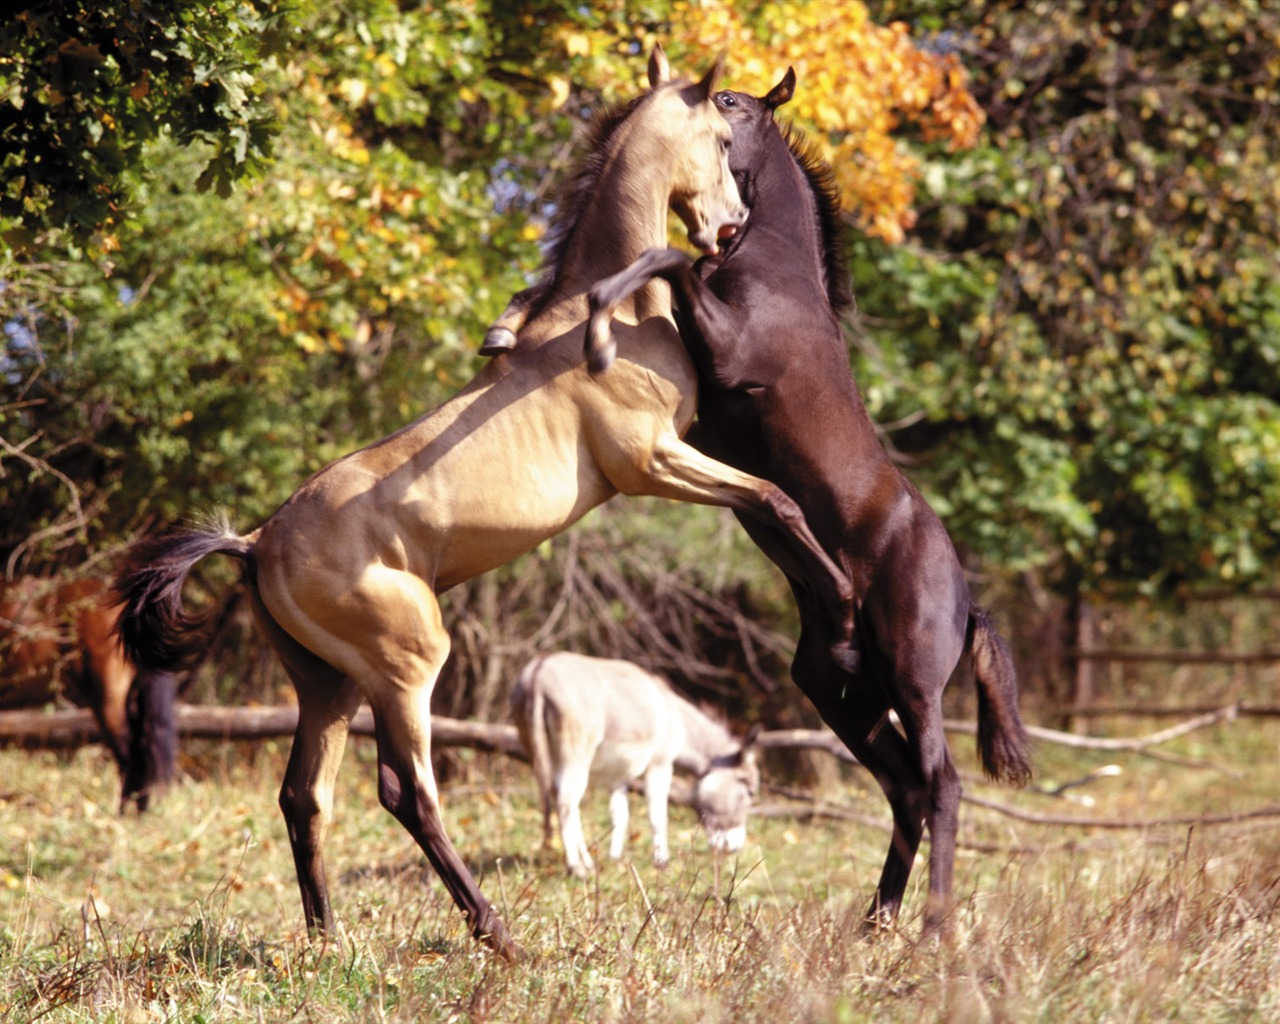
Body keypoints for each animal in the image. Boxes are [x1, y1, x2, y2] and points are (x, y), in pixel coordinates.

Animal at [506, 652, 752, 875]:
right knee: (566, 803)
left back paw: (587, 862)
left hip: (543, 752)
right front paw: (662, 863)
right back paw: (577, 867)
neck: (675, 715)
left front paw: (615, 858)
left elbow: (620, 814)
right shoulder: (660, 764)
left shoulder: (619, 778)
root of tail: (540, 671)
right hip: (576, 755)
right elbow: (657, 815)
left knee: (563, 801)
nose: (734, 847)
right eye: (748, 790)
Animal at [581, 70, 1029, 936]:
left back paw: (932, 929)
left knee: (944, 784)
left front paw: (593, 314)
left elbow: (665, 258)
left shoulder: (724, 353)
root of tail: (969, 605)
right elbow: (669, 267)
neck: (775, 272)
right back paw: (876, 920)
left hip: (913, 685)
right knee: (906, 789)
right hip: (843, 695)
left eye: (730, 105)